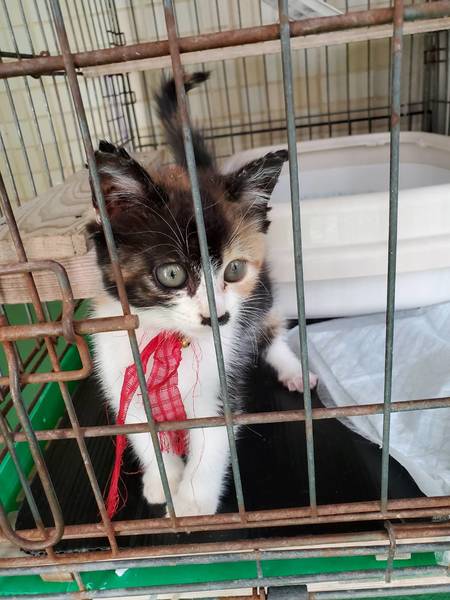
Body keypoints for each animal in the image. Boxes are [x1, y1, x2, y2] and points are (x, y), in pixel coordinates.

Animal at [89, 71, 317, 517]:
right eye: (172, 273)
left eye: (234, 269)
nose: (218, 317)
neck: (168, 338)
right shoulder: (120, 372)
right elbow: (146, 433)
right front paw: (162, 482)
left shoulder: (220, 378)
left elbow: (211, 440)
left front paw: (193, 501)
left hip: (260, 298)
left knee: (269, 330)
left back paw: (292, 370)